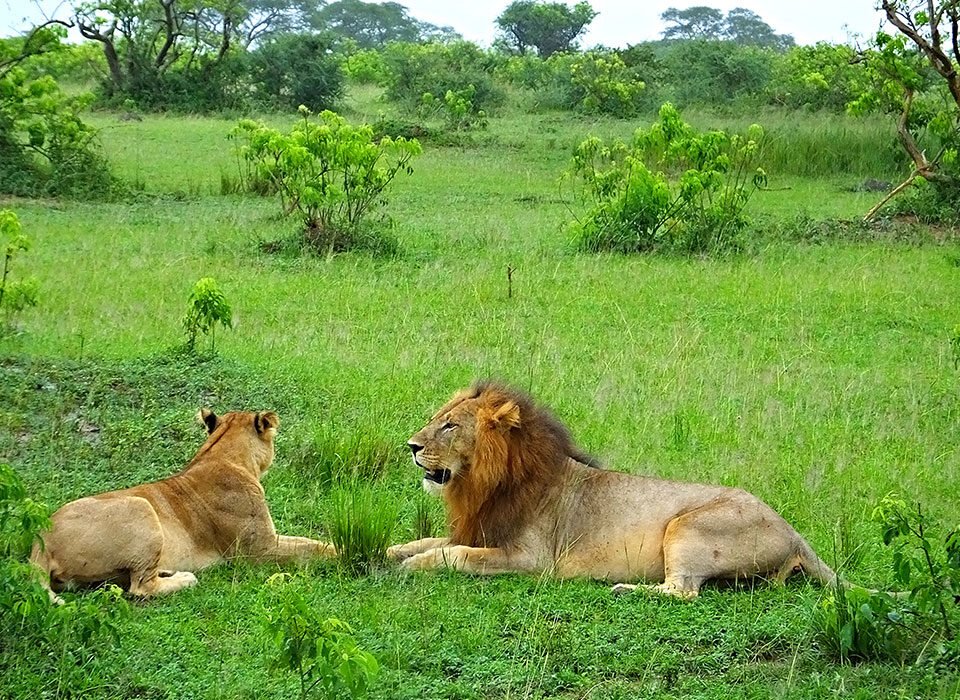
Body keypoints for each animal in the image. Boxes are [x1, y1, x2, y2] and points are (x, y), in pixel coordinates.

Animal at [30, 409, 335, 602]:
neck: (222, 455)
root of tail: (41, 538)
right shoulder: (258, 550)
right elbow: (311, 547)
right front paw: (343, 552)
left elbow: (309, 542)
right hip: (141, 505)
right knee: (140, 587)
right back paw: (186, 578)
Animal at [388, 381, 841, 599]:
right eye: (437, 419)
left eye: (450, 426)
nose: (411, 446)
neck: (484, 484)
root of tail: (793, 531)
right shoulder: (479, 529)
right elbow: (425, 541)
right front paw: (393, 552)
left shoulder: (532, 560)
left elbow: (456, 554)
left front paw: (415, 566)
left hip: (686, 527)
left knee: (684, 591)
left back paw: (624, 589)